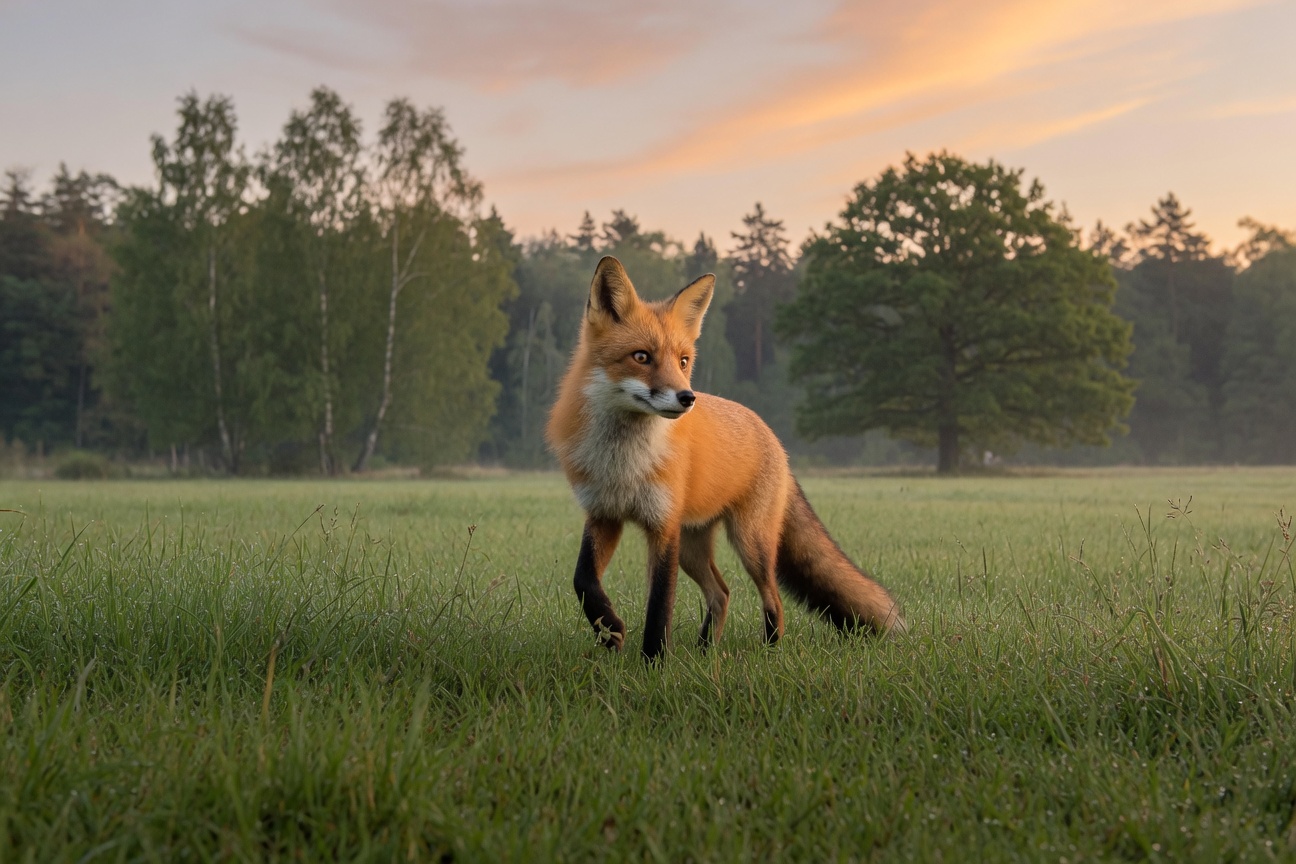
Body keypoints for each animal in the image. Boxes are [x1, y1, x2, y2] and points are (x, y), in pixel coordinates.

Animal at [546, 256, 905, 661]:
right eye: (641, 357)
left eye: (683, 361)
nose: (687, 397)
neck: (624, 463)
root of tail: (772, 437)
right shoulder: (604, 515)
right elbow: (583, 580)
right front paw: (609, 628)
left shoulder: (663, 527)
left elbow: (659, 607)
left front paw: (654, 661)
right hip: (693, 548)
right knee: (722, 593)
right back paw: (705, 652)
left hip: (750, 543)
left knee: (773, 598)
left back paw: (768, 652)